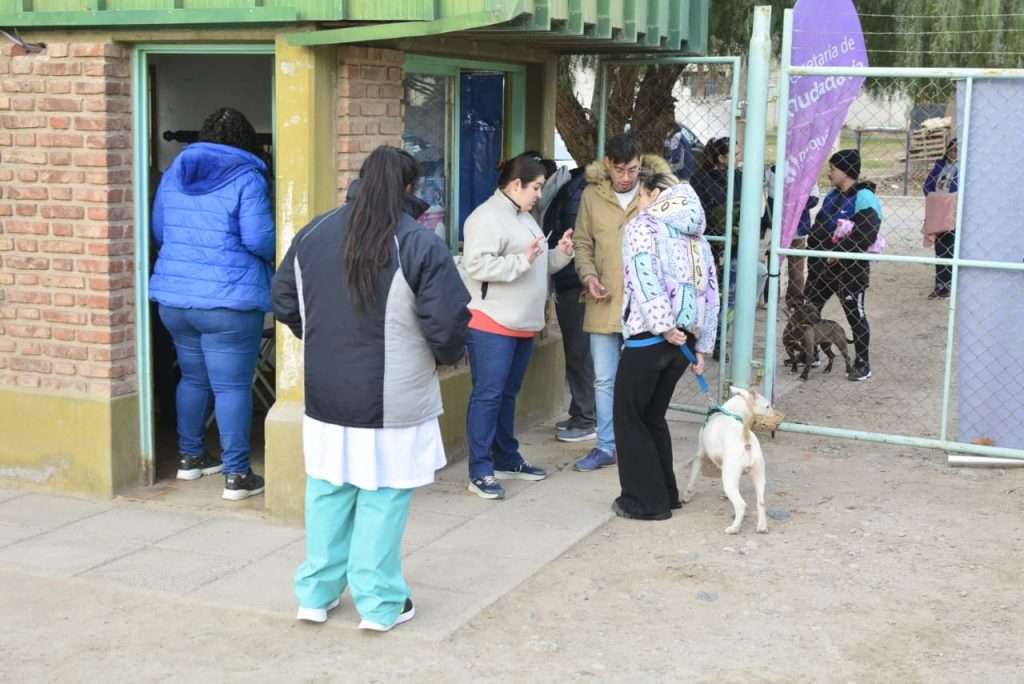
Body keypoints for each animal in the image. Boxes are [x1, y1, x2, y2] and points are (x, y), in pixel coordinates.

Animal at [679, 385, 774, 532]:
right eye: (768, 406)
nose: (776, 417)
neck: (730, 412)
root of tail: (745, 439)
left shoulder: (700, 456)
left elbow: (692, 480)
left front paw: (687, 496)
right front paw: (724, 495)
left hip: (730, 478)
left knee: (741, 505)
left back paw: (734, 528)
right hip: (759, 476)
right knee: (761, 502)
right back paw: (762, 527)